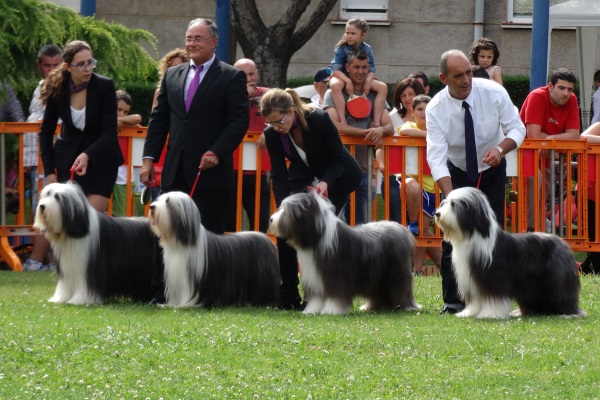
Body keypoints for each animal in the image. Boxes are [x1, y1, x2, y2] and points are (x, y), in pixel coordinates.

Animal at [150, 192, 282, 308]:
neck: (182, 242)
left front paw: (185, 305)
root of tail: (268, 239)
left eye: (167, 201)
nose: (151, 207)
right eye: (160, 198)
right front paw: (170, 305)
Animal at [270, 189, 420, 314]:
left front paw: (331, 310)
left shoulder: (336, 276)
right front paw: (311, 311)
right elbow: (317, 299)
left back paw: (407, 307)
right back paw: (372, 307)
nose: (271, 219)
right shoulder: (316, 279)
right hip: (377, 276)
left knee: (401, 289)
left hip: (396, 274)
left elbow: (336, 296)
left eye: (287, 211)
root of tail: (401, 229)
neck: (318, 236)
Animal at [434, 187, 584, 318]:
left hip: (557, 279)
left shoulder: (493, 277)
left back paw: (570, 313)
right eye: (445, 202)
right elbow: (476, 300)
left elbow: (493, 297)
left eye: (453, 204)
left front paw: (491, 314)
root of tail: (563, 242)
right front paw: (468, 313)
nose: (437, 213)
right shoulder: (472, 279)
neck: (472, 236)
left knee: (562, 295)